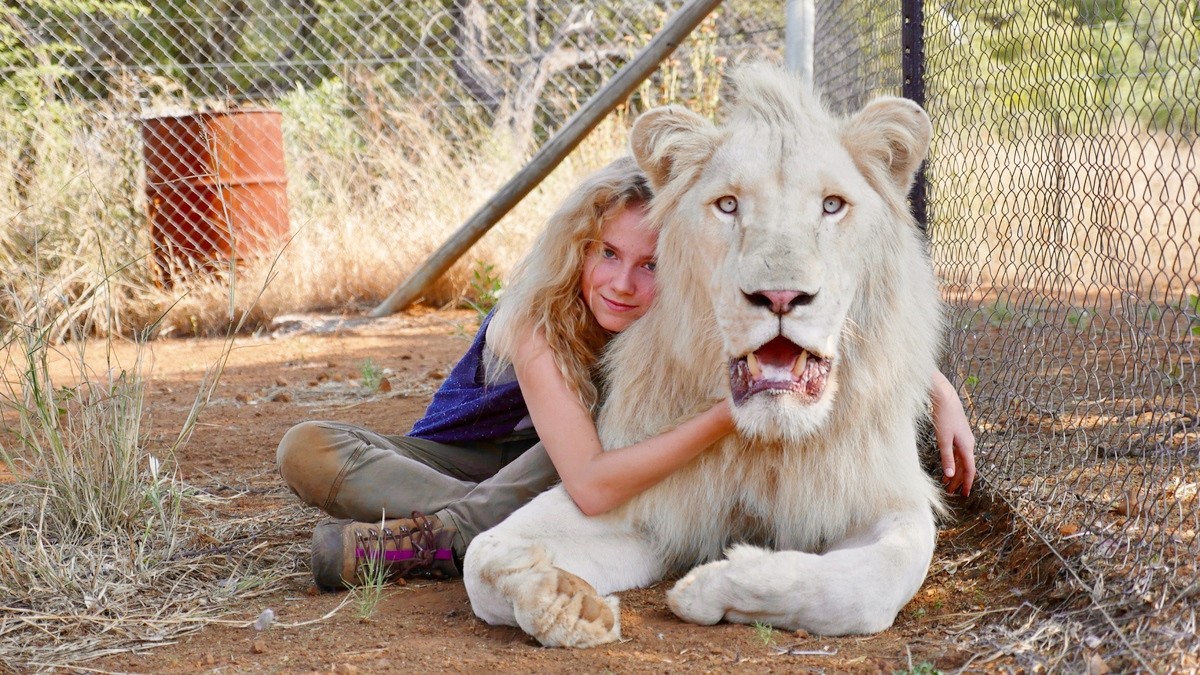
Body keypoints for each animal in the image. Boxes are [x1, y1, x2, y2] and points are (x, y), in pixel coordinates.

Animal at [463, 63, 946, 648]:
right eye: (728, 205)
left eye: (832, 205)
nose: (780, 296)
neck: (765, 443)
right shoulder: (639, 495)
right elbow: (482, 556)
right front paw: (563, 600)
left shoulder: (884, 496)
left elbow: (870, 584)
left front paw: (714, 585)